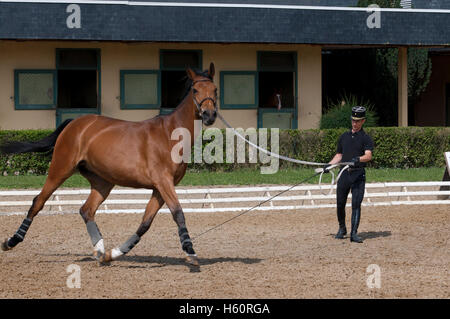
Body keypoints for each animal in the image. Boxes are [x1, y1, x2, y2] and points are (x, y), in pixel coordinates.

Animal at [0, 63, 218, 268]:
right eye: (195, 90)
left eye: (215, 89)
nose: (209, 115)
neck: (170, 134)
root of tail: (75, 123)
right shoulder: (163, 182)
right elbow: (178, 213)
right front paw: (190, 252)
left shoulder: (160, 187)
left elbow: (145, 223)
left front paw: (113, 253)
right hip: (60, 169)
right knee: (38, 202)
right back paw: (11, 242)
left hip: (103, 182)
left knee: (86, 210)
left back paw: (100, 252)